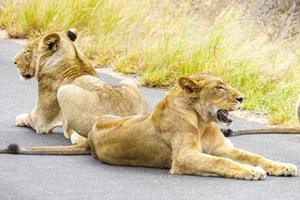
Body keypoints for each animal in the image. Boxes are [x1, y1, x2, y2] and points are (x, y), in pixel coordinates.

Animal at [1, 73, 298, 180]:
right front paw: (252, 172)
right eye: (219, 88)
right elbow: (221, 163)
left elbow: (256, 156)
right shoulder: (184, 158)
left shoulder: (225, 148)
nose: (241, 98)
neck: (203, 121)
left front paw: (283, 167)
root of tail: (91, 139)